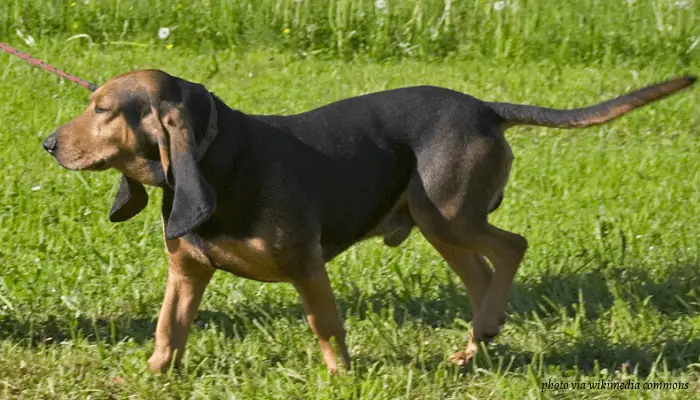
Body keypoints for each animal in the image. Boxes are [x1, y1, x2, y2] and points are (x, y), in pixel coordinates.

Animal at [43, 70, 696, 374]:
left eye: (102, 109)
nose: (48, 144)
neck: (214, 156)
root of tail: (484, 109)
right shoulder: (186, 272)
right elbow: (167, 330)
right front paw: (156, 372)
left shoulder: (306, 265)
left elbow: (326, 325)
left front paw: (341, 377)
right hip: (437, 222)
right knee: (485, 276)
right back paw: (474, 345)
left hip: (449, 213)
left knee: (512, 246)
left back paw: (480, 334)